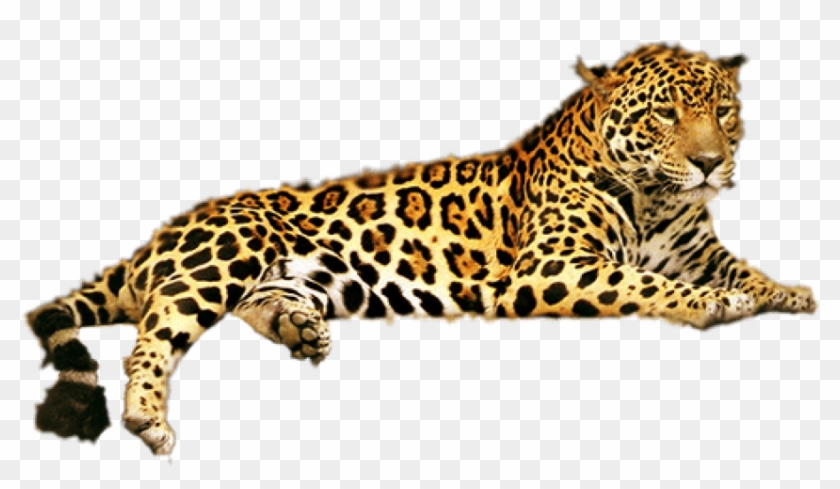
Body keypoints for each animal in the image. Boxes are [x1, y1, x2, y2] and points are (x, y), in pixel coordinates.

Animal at [26, 44, 816, 455]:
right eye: (664, 115)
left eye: (724, 111)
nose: (712, 164)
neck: (655, 197)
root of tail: (161, 233)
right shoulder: (549, 270)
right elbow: (647, 285)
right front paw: (713, 303)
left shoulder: (694, 245)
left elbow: (742, 267)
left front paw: (790, 291)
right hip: (226, 254)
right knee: (153, 331)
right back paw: (147, 416)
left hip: (284, 275)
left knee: (251, 304)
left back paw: (300, 328)